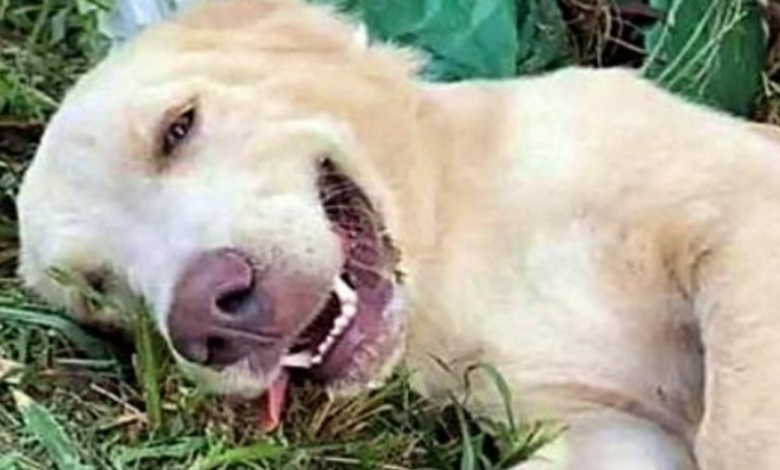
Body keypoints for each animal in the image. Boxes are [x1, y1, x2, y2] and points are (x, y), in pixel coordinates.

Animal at [16, 0, 780, 468]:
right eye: (101, 290)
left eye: (176, 129)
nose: (208, 321)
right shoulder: (600, 430)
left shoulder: (739, 214)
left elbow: (738, 434)